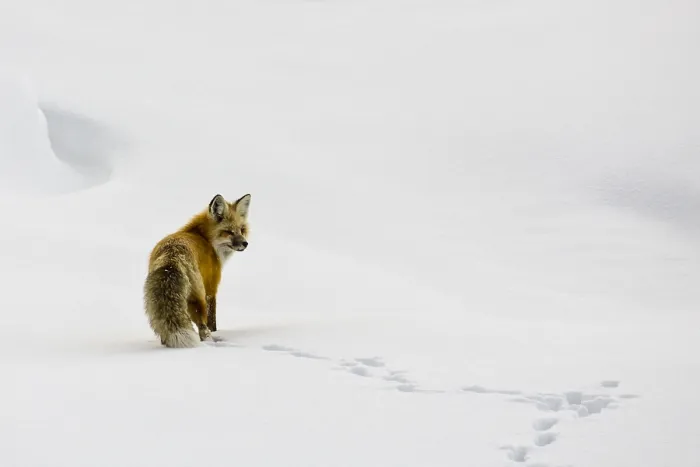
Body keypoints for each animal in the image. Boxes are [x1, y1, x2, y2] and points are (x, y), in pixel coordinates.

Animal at [143, 193, 251, 348]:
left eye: (242, 229)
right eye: (228, 232)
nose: (245, 243)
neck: (205, 239)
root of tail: (172, 256)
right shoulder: (211, 289)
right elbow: (212, 322)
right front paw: (216, 333)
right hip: (198, 299)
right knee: (203, 329)